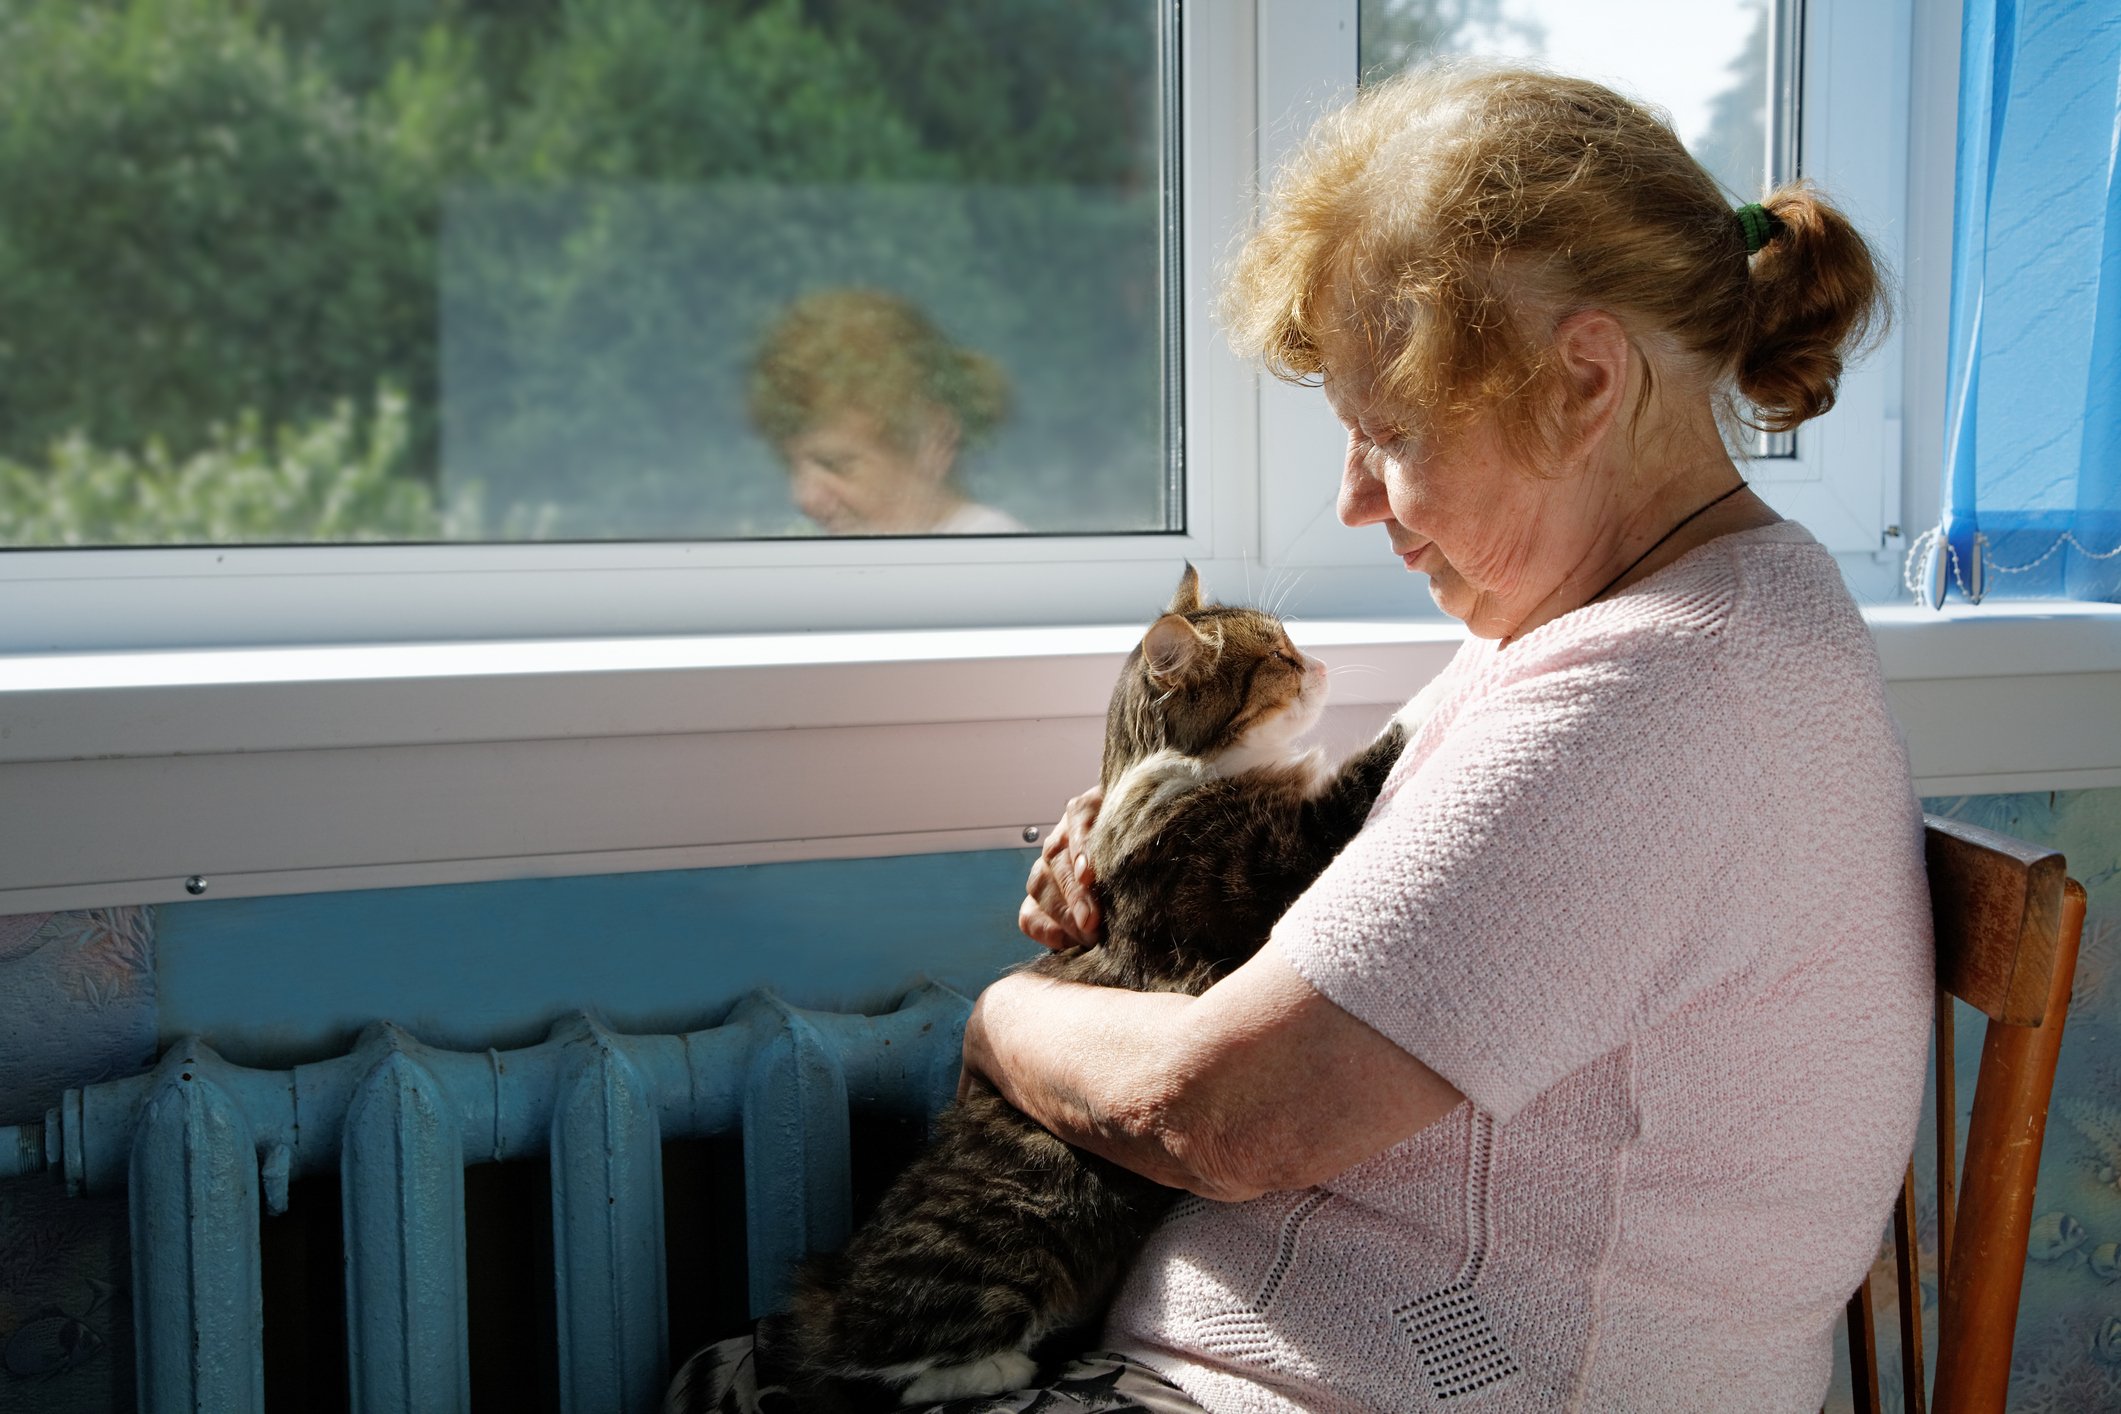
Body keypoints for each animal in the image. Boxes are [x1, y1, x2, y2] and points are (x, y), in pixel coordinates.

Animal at [780, 568, 1408, 1407]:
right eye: (1278, 655)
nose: (1320, 664)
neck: (1181, 775)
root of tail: (831, 1289)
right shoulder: (1260, 868)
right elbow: (1351, 783)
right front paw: (1412, 716)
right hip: (1009, 1259)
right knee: (897, 1369)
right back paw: (1003, 1365)